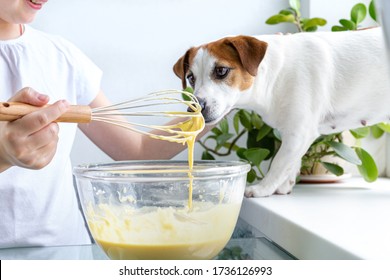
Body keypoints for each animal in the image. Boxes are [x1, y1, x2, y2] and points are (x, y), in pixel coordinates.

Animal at [174, 27, 390, 196]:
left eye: (221, 71)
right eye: (191, 77)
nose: (193, 109)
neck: (277, 74)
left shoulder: (299, 132)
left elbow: (279, 163)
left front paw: (263, 188)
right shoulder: (293, 134)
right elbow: (290, 163)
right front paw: (284, 185)